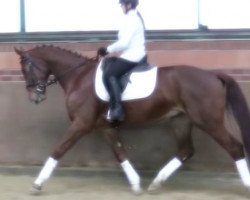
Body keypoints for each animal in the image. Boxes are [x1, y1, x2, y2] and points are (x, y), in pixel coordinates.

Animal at [14, 44, 250, 195]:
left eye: (26, 67)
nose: (35, 97)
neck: (78, 77)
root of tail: (212, 75)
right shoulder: (105, 127)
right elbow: (120, 153)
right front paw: (136, 184)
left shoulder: (81, 124)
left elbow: (58, 150)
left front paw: (37, 183)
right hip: (181, 120)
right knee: (186, 151)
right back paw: (155, 183)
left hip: (208, 121)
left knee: (235, 147)